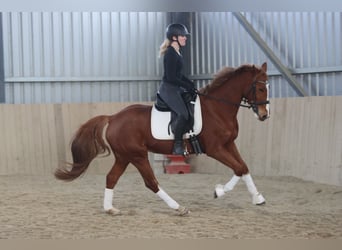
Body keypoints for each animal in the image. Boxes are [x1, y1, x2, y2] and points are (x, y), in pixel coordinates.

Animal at [54, 62, 272, 215]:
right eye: (261, 88)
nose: (264, 115)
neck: (217, 108)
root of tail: (114, 117)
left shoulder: (229, 144)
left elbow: (243, 167)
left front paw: (257, 197)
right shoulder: (215, 149)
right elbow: (239, 168)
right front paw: (220, 191)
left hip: (124, 157)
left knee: (111, 178)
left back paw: (110, 209)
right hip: (138, 155)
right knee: (151, 182)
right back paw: (179, 208)